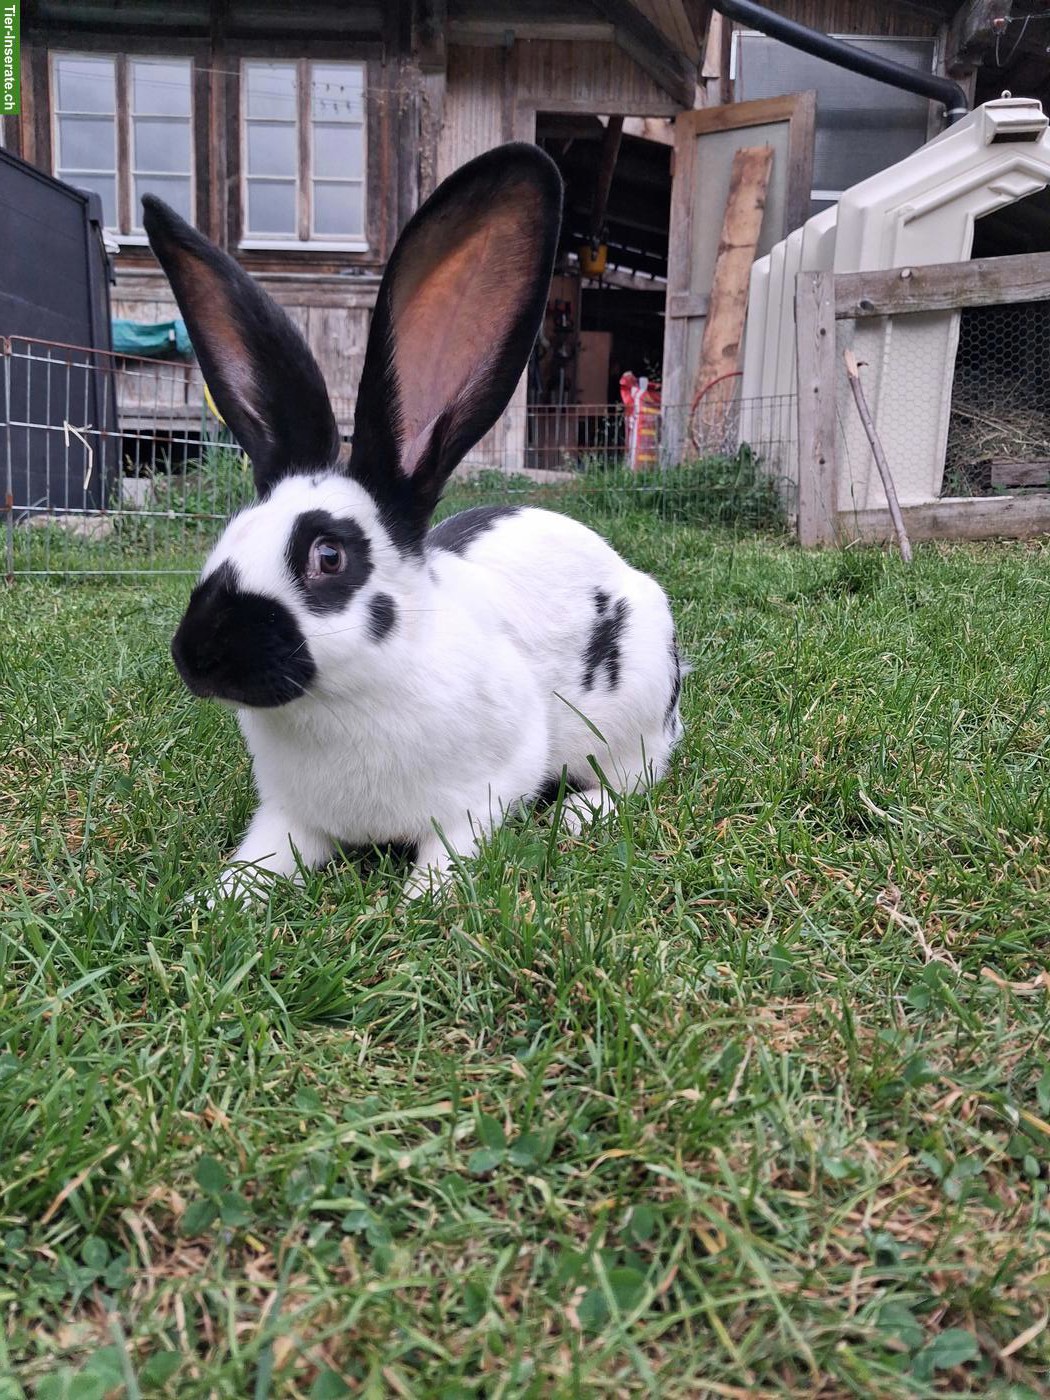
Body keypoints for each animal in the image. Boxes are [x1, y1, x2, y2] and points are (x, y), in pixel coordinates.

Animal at [143, 143, 684, 900]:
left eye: (328, 556)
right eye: (229, 536)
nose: (197, 656)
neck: (345, 698)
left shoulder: (485, 791)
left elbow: (450, 849)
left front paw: (422, 899)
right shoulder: (289, 815)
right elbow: (264, 858)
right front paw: (213, 899)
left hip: (633, 711)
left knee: (639, 775)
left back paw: (578, 814)